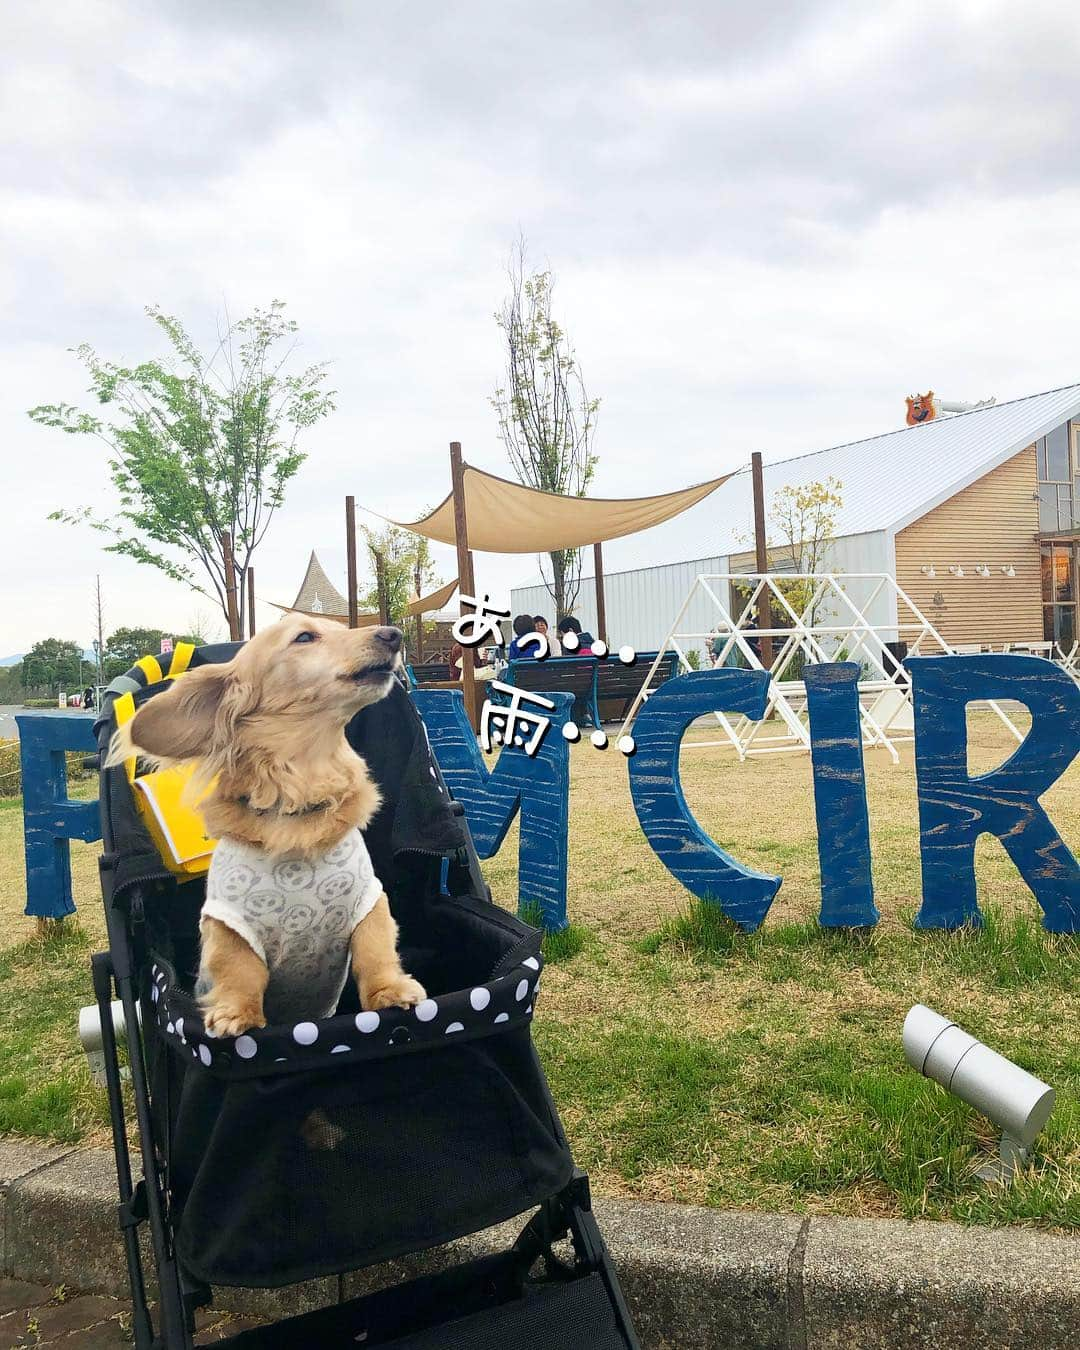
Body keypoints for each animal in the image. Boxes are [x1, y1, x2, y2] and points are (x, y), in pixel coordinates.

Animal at [108, 618, 426, 1036]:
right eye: (305, 637)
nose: (393, 634)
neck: (300, 793)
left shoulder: (368, 901)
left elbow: (374, 949)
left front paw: (389, 991)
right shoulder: (228, 924)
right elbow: (241, 970)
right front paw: (236, 1014)